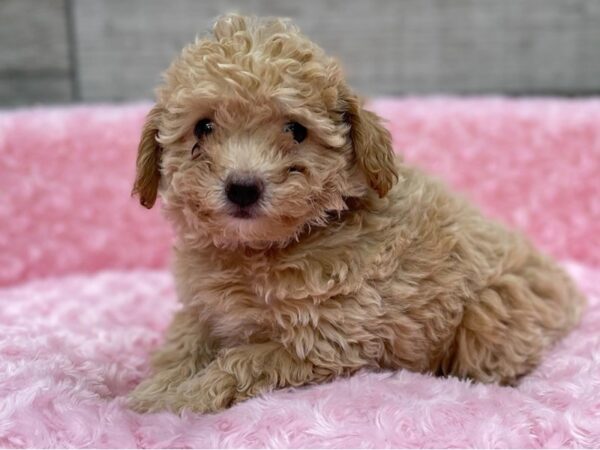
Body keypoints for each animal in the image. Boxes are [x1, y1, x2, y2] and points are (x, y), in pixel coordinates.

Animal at [129, 14, 584, 414]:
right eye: (203, 127)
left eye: (296, 130)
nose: (243, 187)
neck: (261, 250)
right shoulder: (203, 310)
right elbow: (182, 343)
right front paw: (155, 390)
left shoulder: (324, 341)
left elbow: (240, 362)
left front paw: (184, 399)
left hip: (491, 314)